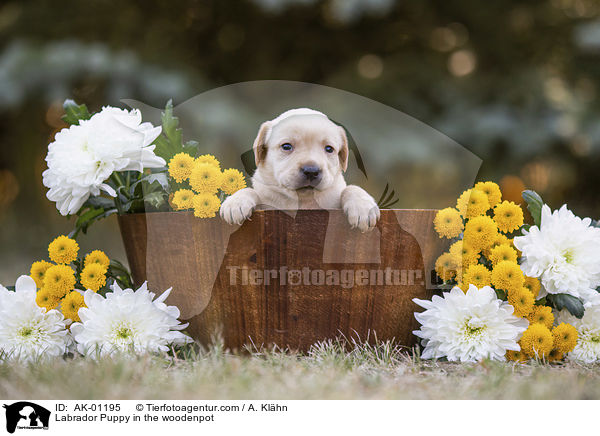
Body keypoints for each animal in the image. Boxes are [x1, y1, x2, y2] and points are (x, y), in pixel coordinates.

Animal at [220, 108, 380, 232]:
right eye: (286, 146)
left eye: (329, 149)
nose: (311, 171)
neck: (302, 201)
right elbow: (251, 191)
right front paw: (236, 202)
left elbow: (351, 188)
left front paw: (363, 206)